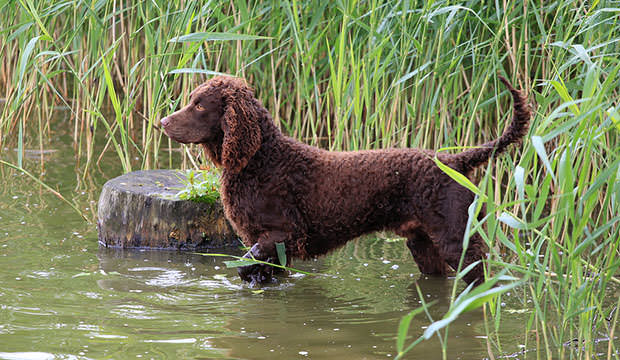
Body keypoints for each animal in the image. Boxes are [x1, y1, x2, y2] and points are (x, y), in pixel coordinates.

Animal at [160, 74, 528, 286]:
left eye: (199, 105)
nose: (162, 122)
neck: (261, 159)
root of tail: (455, 160)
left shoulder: (282, 234)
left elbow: (245, 265)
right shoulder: (271, 244)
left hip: (457, 241)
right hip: (424, 246)